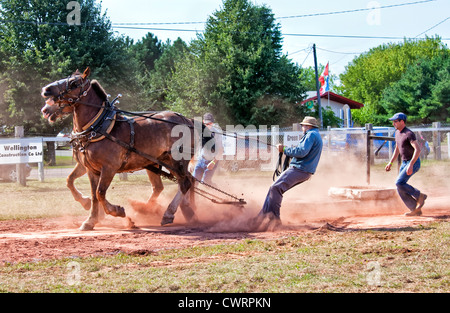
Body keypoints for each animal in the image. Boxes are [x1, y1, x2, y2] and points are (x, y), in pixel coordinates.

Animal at [40, 67, 199, 229]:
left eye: (74, 83)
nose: (46, 90)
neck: (98, 127)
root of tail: (187, 120)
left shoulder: (109, 168)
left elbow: (100, 192)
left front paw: (116, 211)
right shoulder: (90, 168)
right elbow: (89, 192)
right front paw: (91, 219)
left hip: (176, 161)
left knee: (184, 183)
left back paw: (168, 213)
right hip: (161, 162)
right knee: (175, 183)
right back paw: (172, 210)